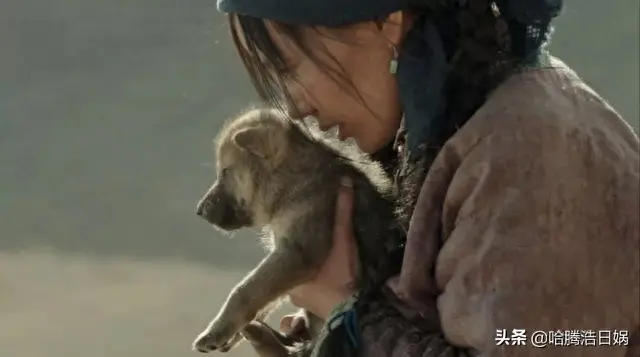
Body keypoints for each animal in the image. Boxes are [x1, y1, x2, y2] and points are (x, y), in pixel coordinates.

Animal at [190, 107, 400, 354]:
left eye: (225, 171)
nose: (199, 211)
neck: (294, 183)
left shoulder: (296, 253)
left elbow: (246, 290)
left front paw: (216, 332)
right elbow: (262, 297)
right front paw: (232, 333)